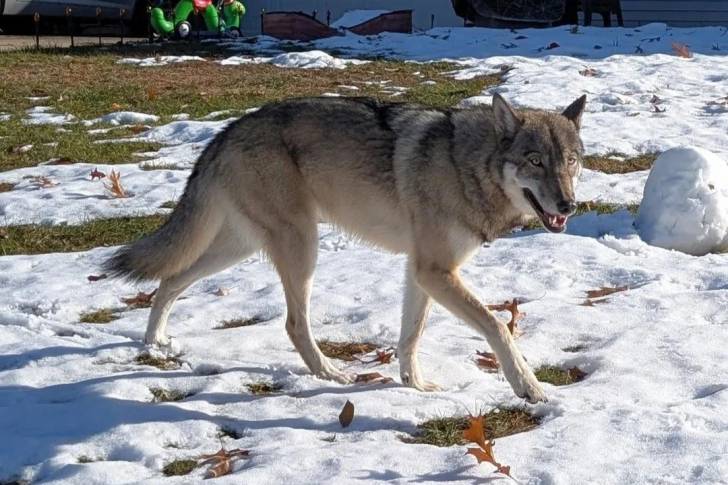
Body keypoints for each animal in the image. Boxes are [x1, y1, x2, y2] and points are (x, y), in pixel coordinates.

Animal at [105, 93, 586, 403]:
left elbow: (411, 336)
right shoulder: (435, 271)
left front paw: (414, 385)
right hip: (302, 247)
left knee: (171, 278)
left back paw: (153, 342)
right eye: (535, 161)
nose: (569, 205)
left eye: (571, 162)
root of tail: (227, 130)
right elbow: (498, 327)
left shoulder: (422, 273)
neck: (466, 165)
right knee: (293, 325)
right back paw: (329, 372)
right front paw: (529, 386)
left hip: (238, 247)